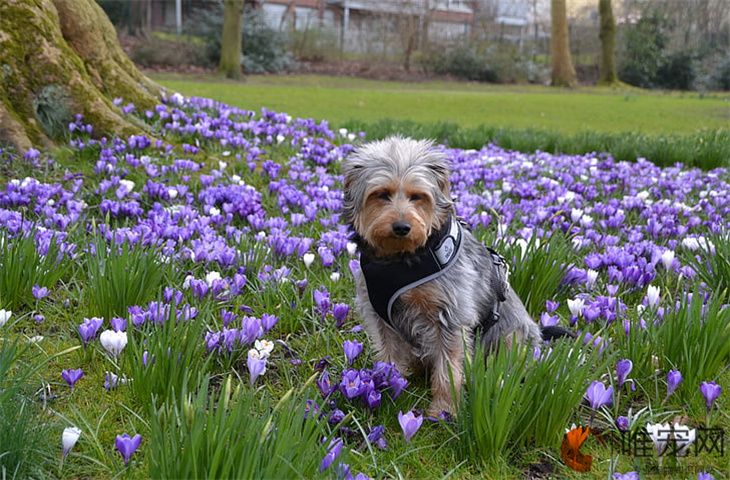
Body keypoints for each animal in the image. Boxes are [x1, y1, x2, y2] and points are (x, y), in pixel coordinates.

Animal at [342, 137, 556, 414]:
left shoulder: (450, 316)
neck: (400, 260)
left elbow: (449, 370)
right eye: (381, 194)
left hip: (513, 335)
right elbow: (388, 358)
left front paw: (444, 410)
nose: (402, 227)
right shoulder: (380, 317)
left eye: (417, 196)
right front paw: (385, 388)